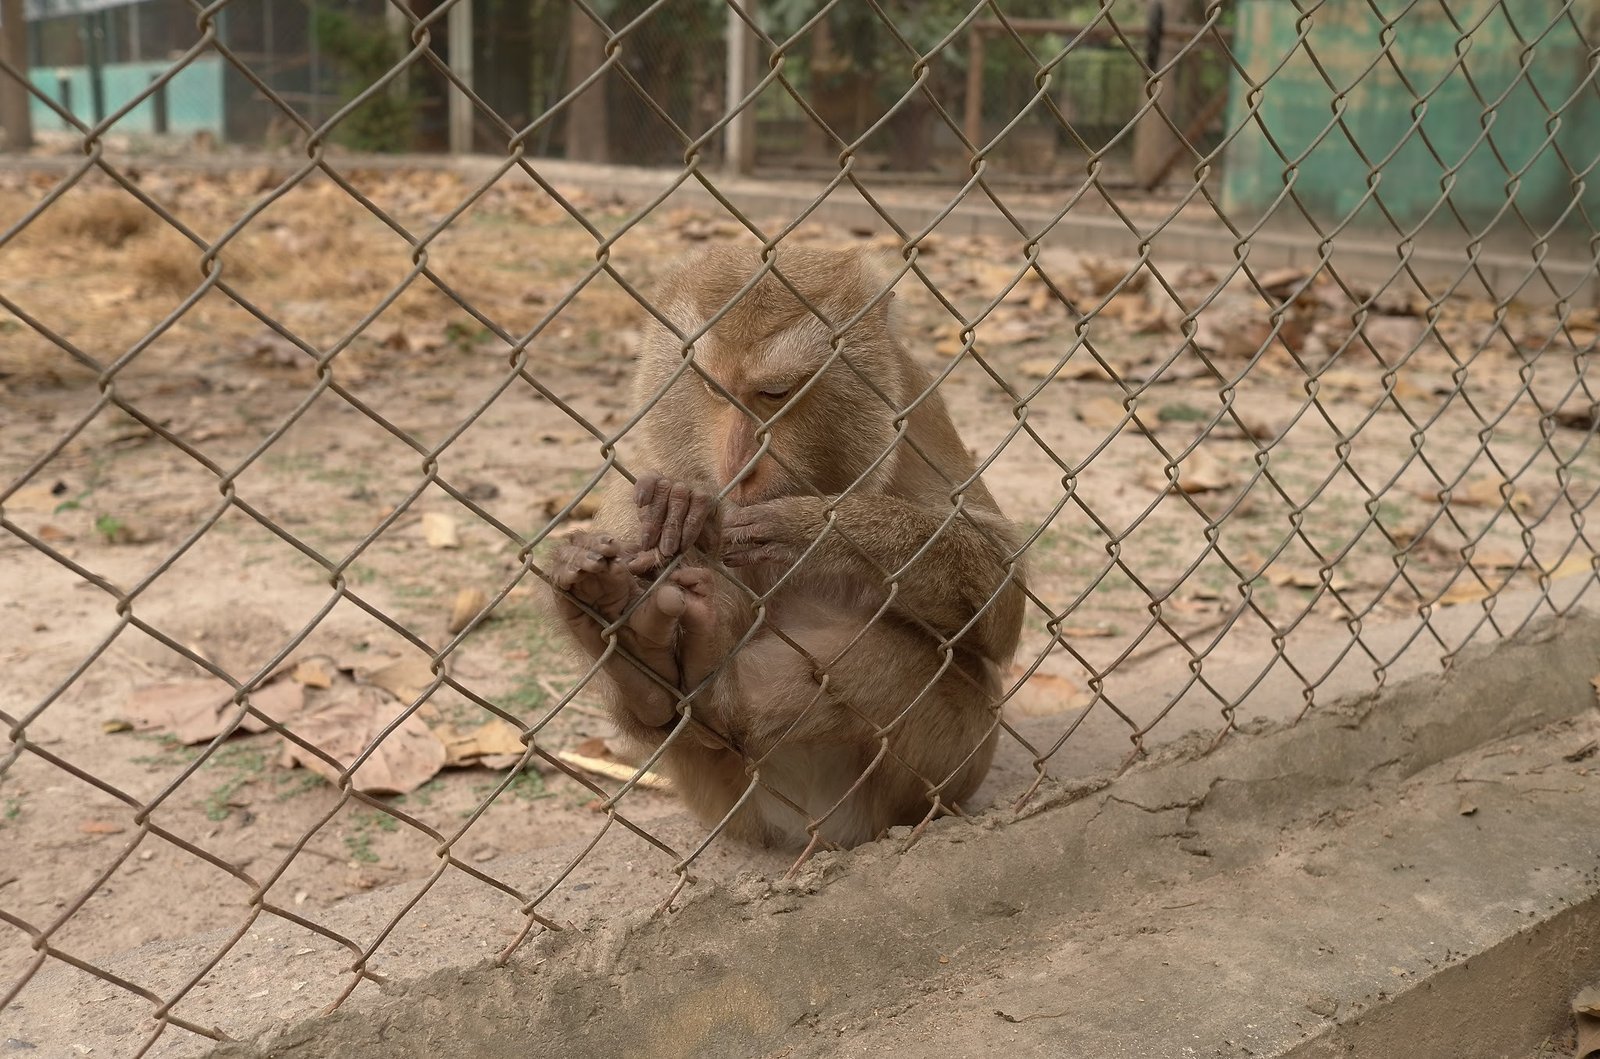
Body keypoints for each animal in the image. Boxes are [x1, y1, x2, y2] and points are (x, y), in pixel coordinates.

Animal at [547, 245, 1026, 849]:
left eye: (775, 394)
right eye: (713, 389)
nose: (741, 465)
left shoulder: (915, 406)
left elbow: (1002, 593)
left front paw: (819, 529)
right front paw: (683, 502)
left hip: (933, 780)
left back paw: (711, 685)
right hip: (719, 796)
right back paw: (641, 657)